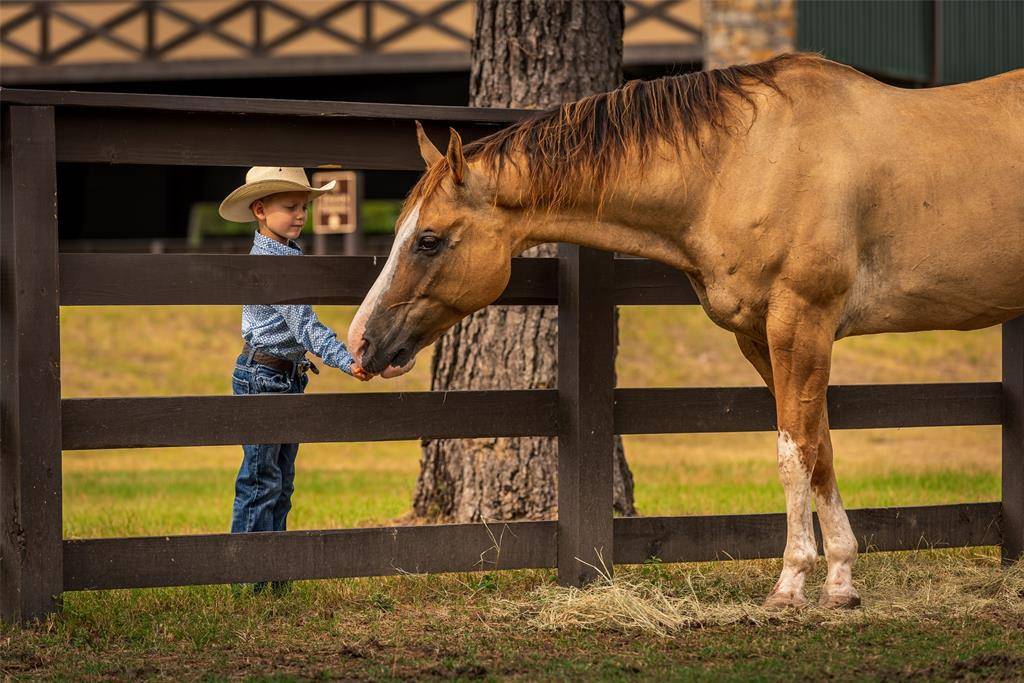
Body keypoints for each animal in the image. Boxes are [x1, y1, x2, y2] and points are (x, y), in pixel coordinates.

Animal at [350, 54, 1024, 610]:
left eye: (428, 239)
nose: (361, 343)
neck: (746, 163)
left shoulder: (801, 323)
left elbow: (794, 453)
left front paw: (791, 582)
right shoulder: (764, 338)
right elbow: (820, 448)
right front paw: (839, 582)